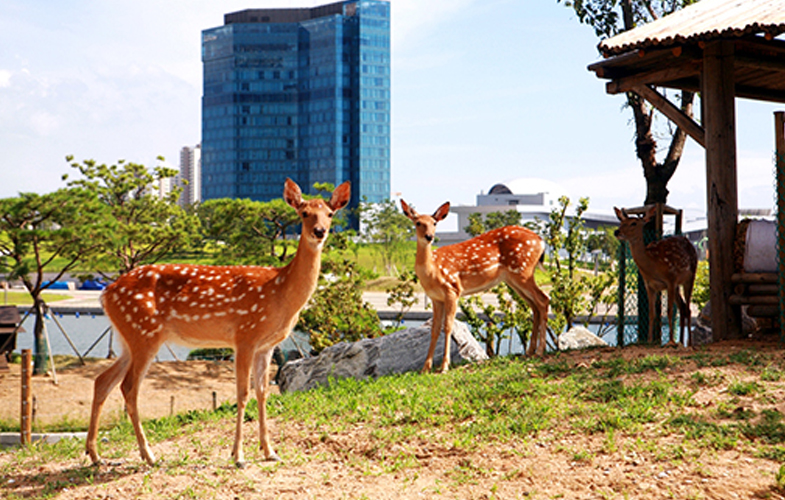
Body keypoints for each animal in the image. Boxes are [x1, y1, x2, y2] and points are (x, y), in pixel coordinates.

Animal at [86, 178, 352, 466]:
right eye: (304, 213)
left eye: (330, 213)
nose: (319, 231)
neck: (280, 292)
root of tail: (106, 293)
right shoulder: (245, 335)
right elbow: (242, 394)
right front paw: (238, 455)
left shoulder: (266, 345)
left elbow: (262, 392)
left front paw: (270, 451)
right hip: (144, 332)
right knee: (128, 387)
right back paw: (149, 455)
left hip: (128, 337)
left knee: (102, 380)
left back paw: (95, 455)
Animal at [402, 199, 548, 372]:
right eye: (418, 222)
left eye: (434, 223)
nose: (429, 236)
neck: (432, 271)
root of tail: (541, 241)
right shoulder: (435, 298)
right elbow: (434, 329)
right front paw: (426, 368)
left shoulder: (452, 289)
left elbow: (448, 327)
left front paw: (444, 367)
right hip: (514, 279)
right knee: (534, 305)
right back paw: (530, 351)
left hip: (523, 270)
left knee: (543, 299)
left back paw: (540, 351)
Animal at [616, 205, 696, 346]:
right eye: (621, 222)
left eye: (633, 223)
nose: (617, 232)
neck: (652, 265)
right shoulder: (650, 285)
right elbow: (651, 313)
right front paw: (649, 340)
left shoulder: (670, 279)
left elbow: (669, 311)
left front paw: (670, 341)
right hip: (677, 285)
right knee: (681, 307)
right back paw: (681, 341)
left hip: (690, 276)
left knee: (688, 308)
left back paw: (688, 343)